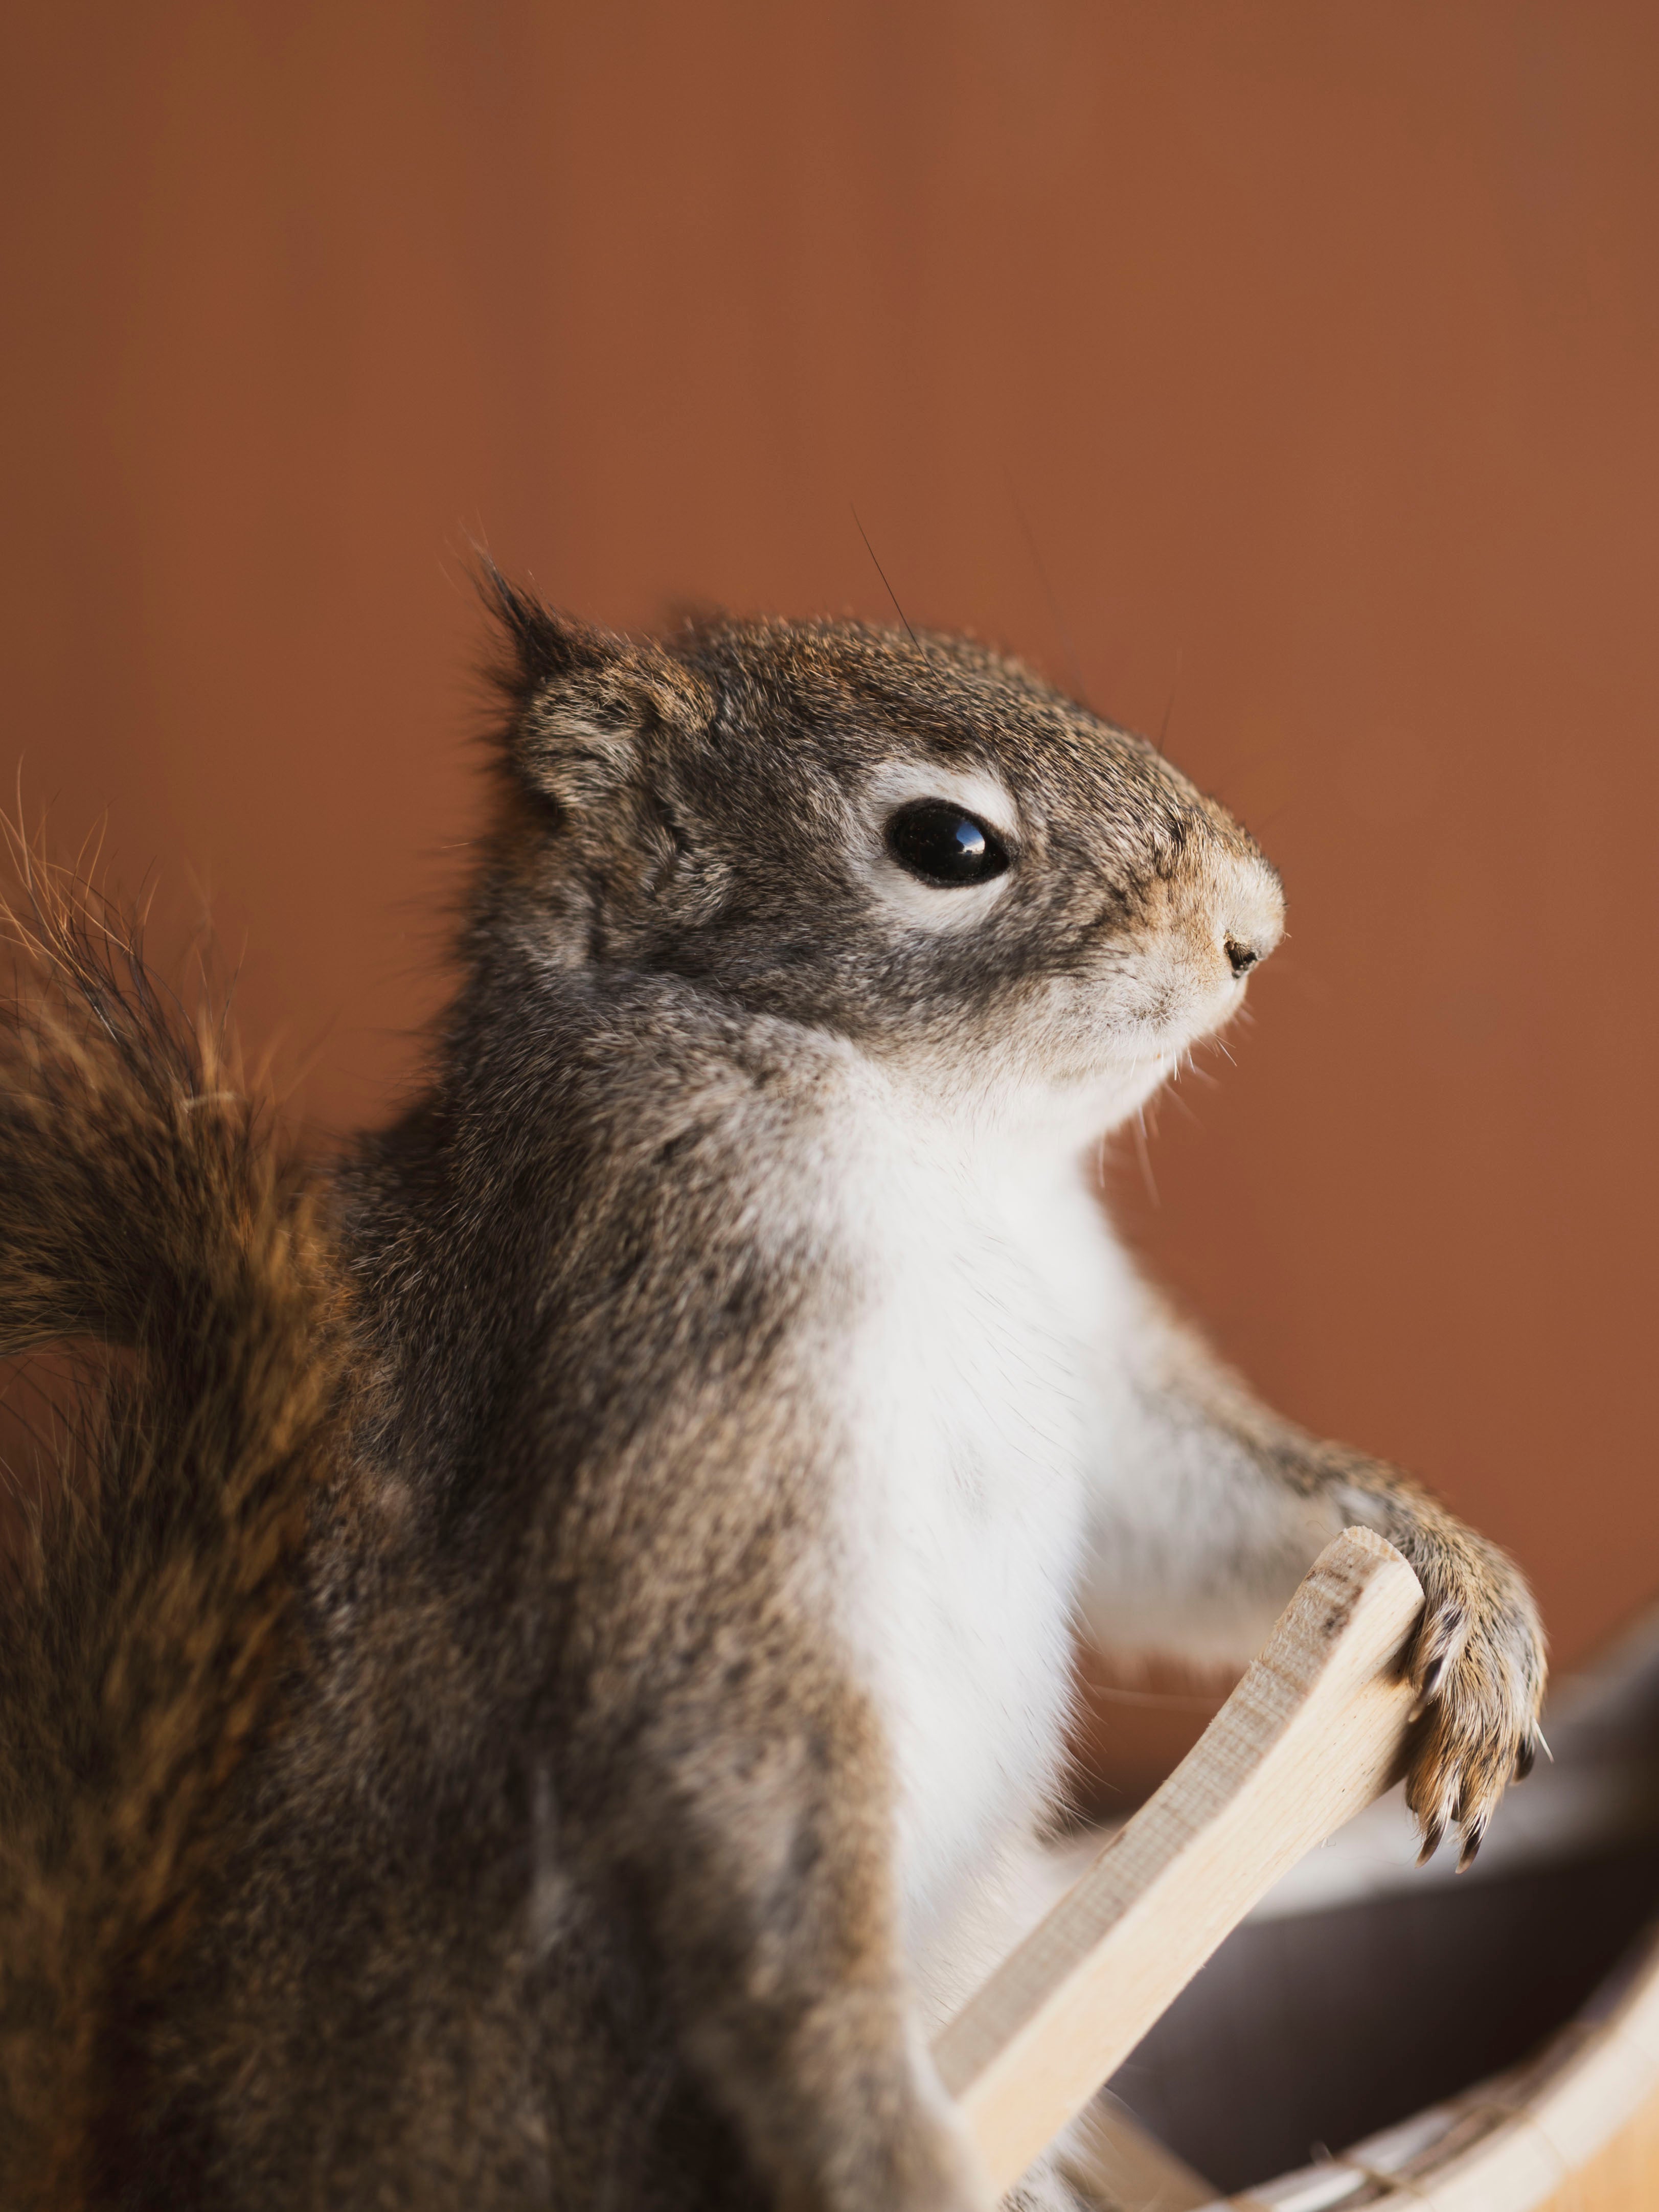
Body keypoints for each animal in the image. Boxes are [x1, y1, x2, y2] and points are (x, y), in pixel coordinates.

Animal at [0, 578, 1546, 2211]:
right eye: (948, 843)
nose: (1253, 927)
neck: (939, 1139)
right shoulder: (679, 1321)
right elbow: (730, 1748)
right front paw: (879, 2138)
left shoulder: (1099, 1380)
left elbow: (1211, 1506)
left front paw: (1464, 1590)